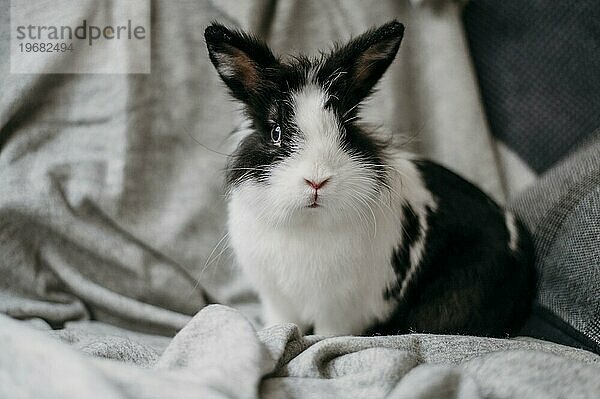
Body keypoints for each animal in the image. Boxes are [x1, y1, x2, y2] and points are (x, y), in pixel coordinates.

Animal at [204, 19, 536, 338]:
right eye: (276, 133)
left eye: (345, 130)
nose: (317, 181)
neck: (309, 222)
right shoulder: (277, 299)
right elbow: (281, 323)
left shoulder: (340, 307)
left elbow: (328, 335)